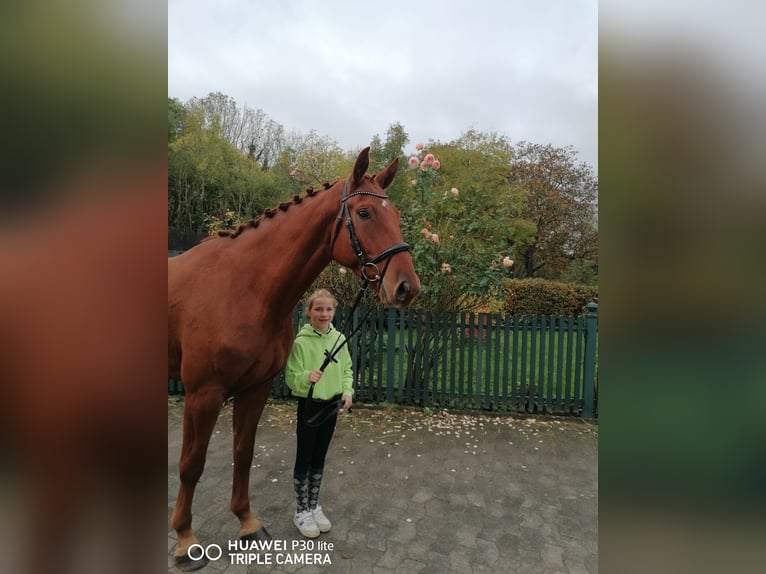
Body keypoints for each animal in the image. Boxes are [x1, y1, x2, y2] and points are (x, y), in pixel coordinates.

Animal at [168, 146, 420, 568]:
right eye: (364, 213)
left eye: (397, 215)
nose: (406, 287)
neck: (245, 287)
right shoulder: (203, 394)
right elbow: (191, 464)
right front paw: (186, 540)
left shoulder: (255, 389)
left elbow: (243, 453)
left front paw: (247, 523)